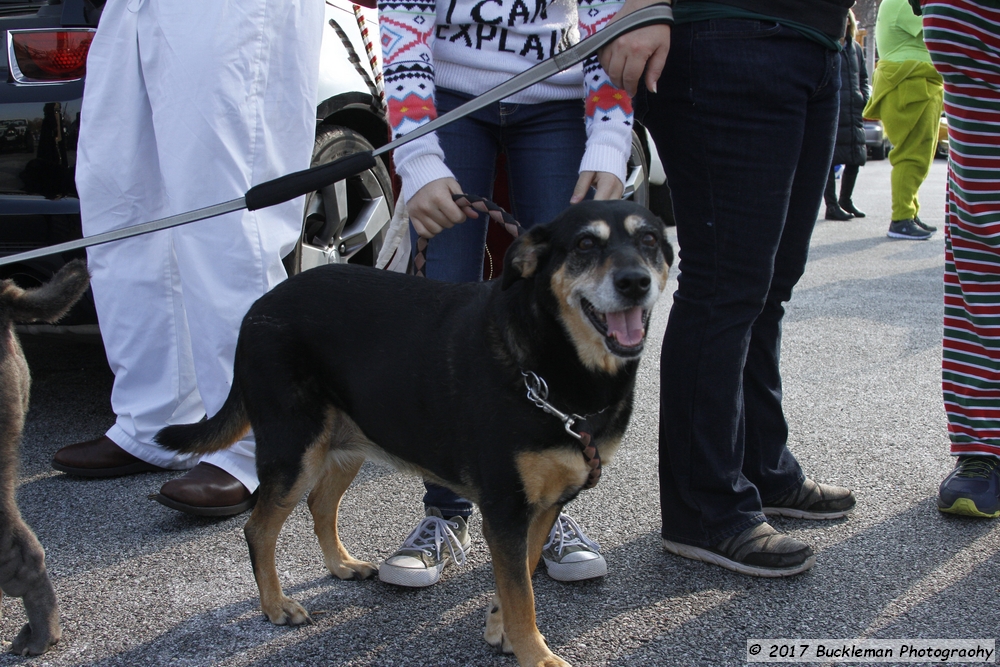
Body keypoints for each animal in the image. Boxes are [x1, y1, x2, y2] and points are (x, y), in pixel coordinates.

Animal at [154, 200, 672, 667]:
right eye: (585, 244)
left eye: (650, 239)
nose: (634, 283)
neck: (554, 367)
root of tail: (257, 307)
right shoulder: (505, 509)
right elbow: (522, 595)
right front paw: (536, 656)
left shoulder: (544, 506)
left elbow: (520, 576)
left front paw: (500, 628)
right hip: (294, 449)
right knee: (258, 528)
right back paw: (276, 606)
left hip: (347, 442)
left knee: (320, 504)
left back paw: (341, 565)